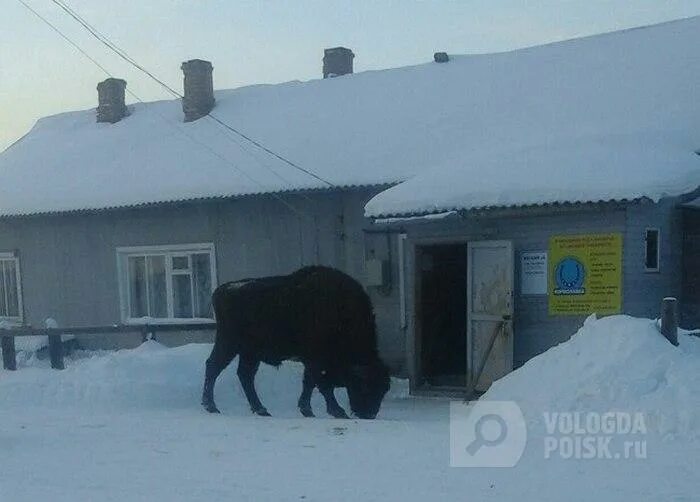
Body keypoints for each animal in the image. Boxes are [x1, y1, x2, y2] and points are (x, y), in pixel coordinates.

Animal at [200, 266, 392, 420]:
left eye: (384, 390)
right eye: (365, 386)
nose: (369, 414)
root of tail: (222, 290)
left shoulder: (313, 362)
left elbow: (312, 383)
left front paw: (310, 410)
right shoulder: (315, 360)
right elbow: (318, 384)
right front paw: (334, 411)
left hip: (249, 353)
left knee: (245, 375)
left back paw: (262, 410)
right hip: (229, 344)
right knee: (214, 367)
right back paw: (212, 407)